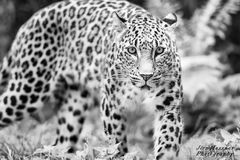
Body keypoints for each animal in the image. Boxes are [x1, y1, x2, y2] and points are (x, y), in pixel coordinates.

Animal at [0, 0, 184, 159]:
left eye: (159, 50)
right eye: (132, 50)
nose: (146, 76)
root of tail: (30, 21)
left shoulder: (169, 108)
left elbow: (167, 143)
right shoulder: (111, 105)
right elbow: (116, 143)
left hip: (74, 104)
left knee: (60, 144)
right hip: (28, 90)